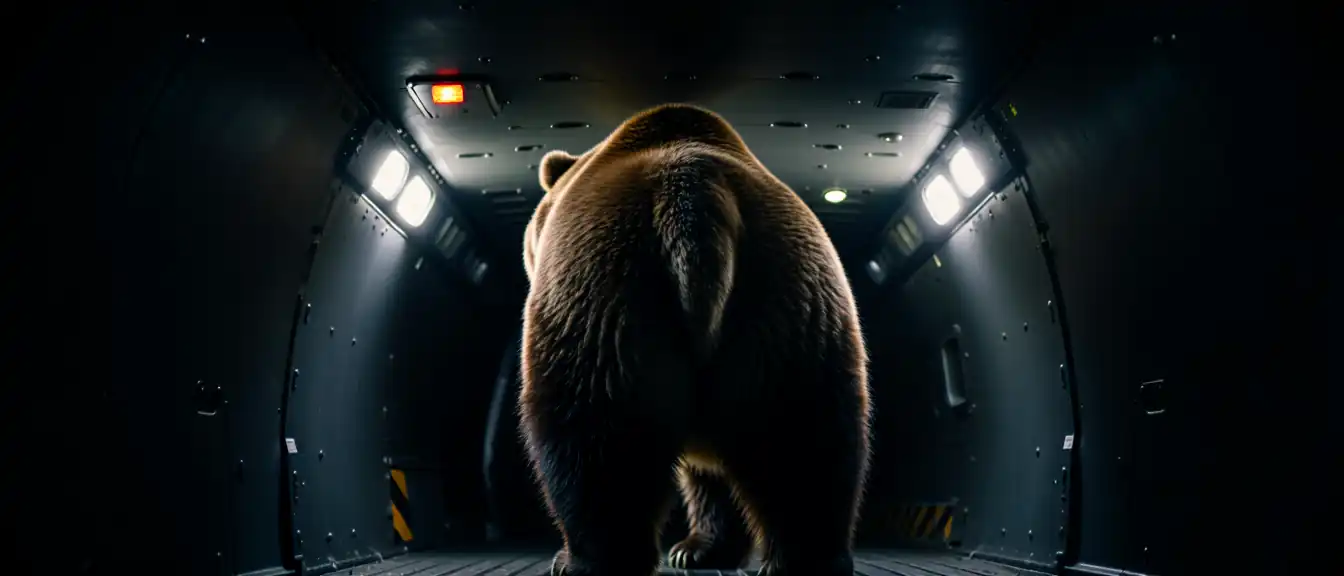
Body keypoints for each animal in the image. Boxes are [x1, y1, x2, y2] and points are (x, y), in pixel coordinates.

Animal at [519, 103, 871, 576]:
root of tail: (694, 204)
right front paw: (701, 547)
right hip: (793, 307)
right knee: (804, 438)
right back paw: (807, 557)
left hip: (604, 295)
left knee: (594, 435)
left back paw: (585, 558)